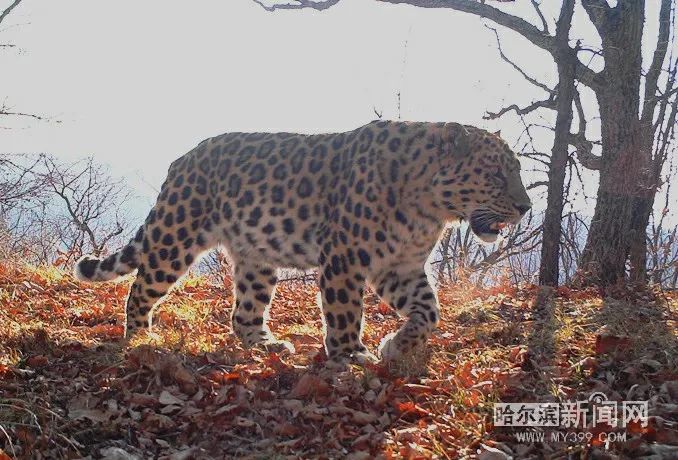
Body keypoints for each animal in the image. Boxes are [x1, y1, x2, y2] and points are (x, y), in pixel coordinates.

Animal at [73, 120, 532, 364]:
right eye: (496, 173)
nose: (526, 206)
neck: (428, 206)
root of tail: (182, 160)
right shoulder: (346, 258)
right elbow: (345, 312)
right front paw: (351, 356)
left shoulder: (399, 267)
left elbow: (429, 311)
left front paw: (397, 346)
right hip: (176, 235)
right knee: (140, 288)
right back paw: (140, 338)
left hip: (256, 257)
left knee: (243, 312)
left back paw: (267, 344)